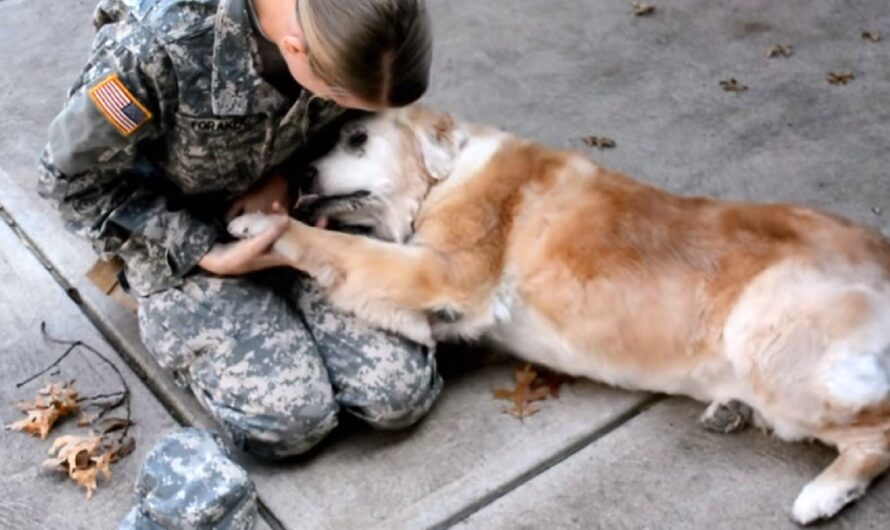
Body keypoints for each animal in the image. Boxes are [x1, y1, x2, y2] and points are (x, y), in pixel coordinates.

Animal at [232, 105, 888, 520]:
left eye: (359, 140)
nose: (302, 175)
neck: (443, 178)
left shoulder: (443, 272)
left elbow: (340, 248)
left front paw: (263, 224)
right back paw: (731, 410)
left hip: (768, 343)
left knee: (875, 432)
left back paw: (823, 495)